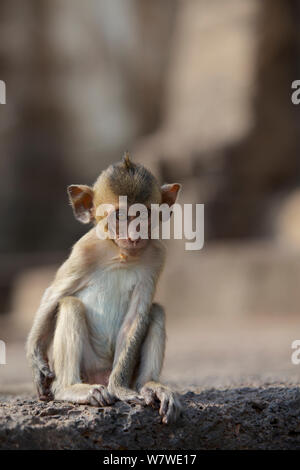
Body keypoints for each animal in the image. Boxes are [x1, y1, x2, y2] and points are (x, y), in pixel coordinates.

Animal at [26, 153, 180, 422]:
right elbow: (53, 296)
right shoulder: (84, 251)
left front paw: (120, 389)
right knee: (71, 305)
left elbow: (136, 317)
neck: (121, 254)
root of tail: (99, 375)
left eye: (144, 215)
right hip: (89, 365)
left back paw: (150, 386)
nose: (135, 235)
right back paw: (70, 388)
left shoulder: (157, 256)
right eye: (120, 216)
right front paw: (36, 361)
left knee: (156, 311)